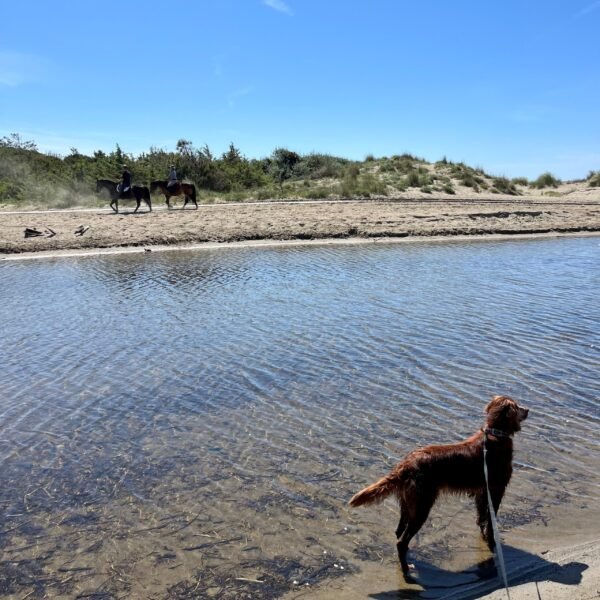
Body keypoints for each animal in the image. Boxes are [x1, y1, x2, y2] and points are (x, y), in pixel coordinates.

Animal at [350, 396, 528, 576]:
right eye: (518, 406)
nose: (528, 410)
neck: (495, 434)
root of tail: (406, 465)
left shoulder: (482, 491)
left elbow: (482, 518)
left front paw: (484, 535)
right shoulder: (496, 489)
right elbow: (491, 521)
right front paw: (491, 542)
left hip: (408, 504)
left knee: (399, 533)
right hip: (421, 507)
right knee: (401, 542)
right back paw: (407, 570)